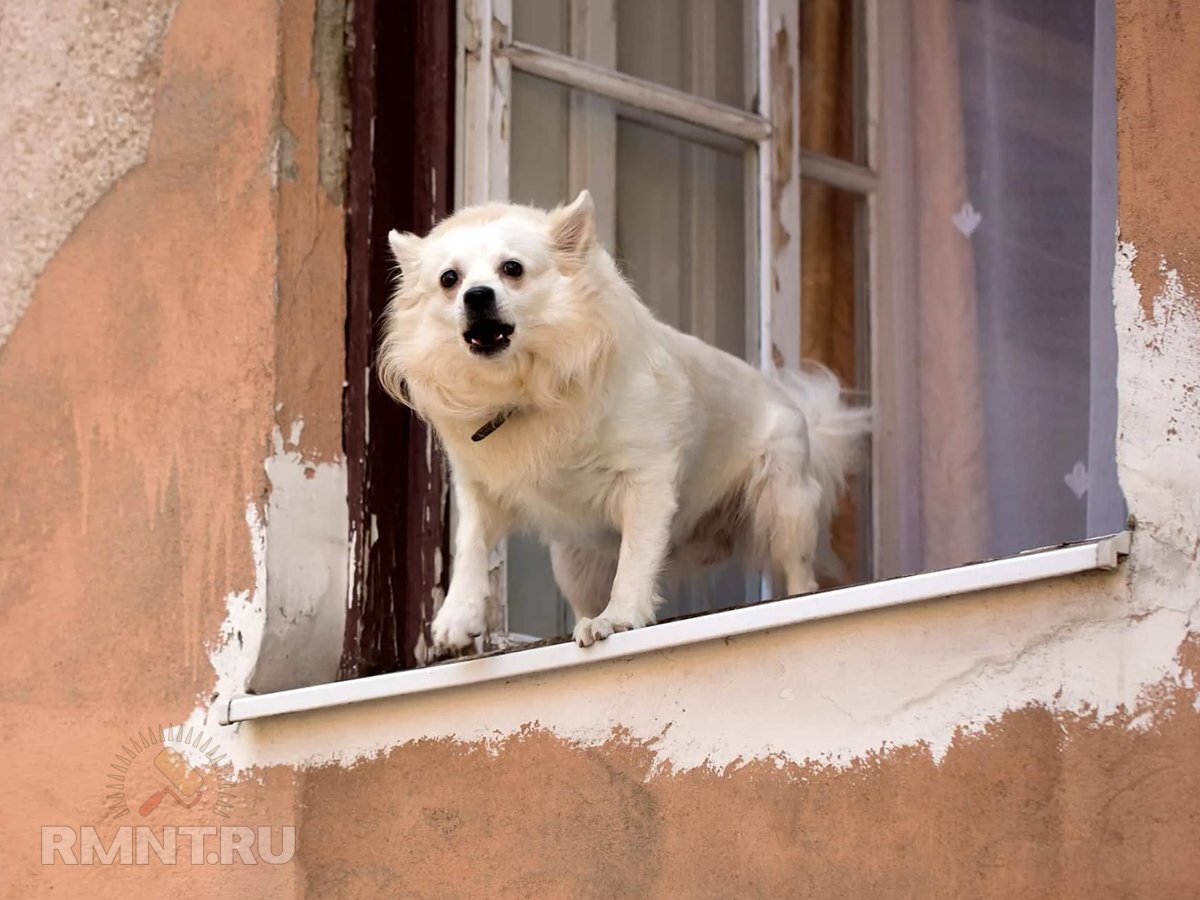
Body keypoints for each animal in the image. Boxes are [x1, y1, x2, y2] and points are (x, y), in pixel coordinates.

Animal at [379, 192, 868, 657]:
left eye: (512, 269)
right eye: (449, 280)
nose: (476, 295)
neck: (525, 389)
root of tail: (792, 405)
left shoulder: (647, 481)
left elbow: (635, 559)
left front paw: (618, 618)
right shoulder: (480, 488)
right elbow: (470, 546)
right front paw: (457, 616)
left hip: (784, 503)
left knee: (800, 575)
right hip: (572, 561)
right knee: (581, 598)